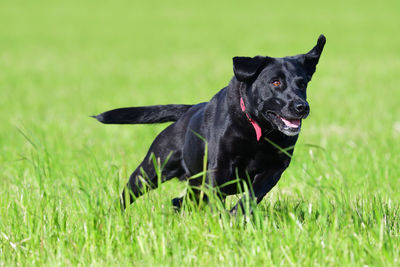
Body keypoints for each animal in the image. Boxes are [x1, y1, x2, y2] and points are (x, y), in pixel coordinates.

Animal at [93, 35, 324, 214]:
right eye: (276, 82)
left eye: (302, 84)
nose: (302, 107)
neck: (257, 131)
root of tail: (187, 111)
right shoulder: (219, 167)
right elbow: (218, 199)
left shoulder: (274, 169)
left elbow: (251, 197)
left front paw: (234, 216)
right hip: (152, 169)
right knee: (128, 194)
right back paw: (112, 216)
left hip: (192, 185)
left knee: (180, 201)